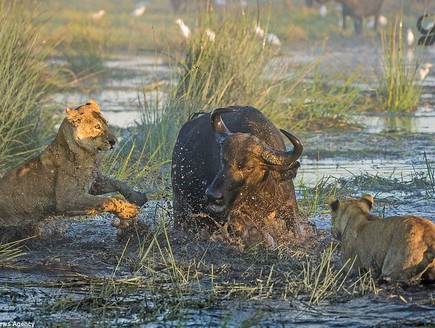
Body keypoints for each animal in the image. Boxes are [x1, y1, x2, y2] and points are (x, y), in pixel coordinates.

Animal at [171, 106, 316, 247]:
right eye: (223, 159)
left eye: (249, 167)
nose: (213, 195)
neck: (260, 193)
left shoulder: (289, 207)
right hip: (180, 207)